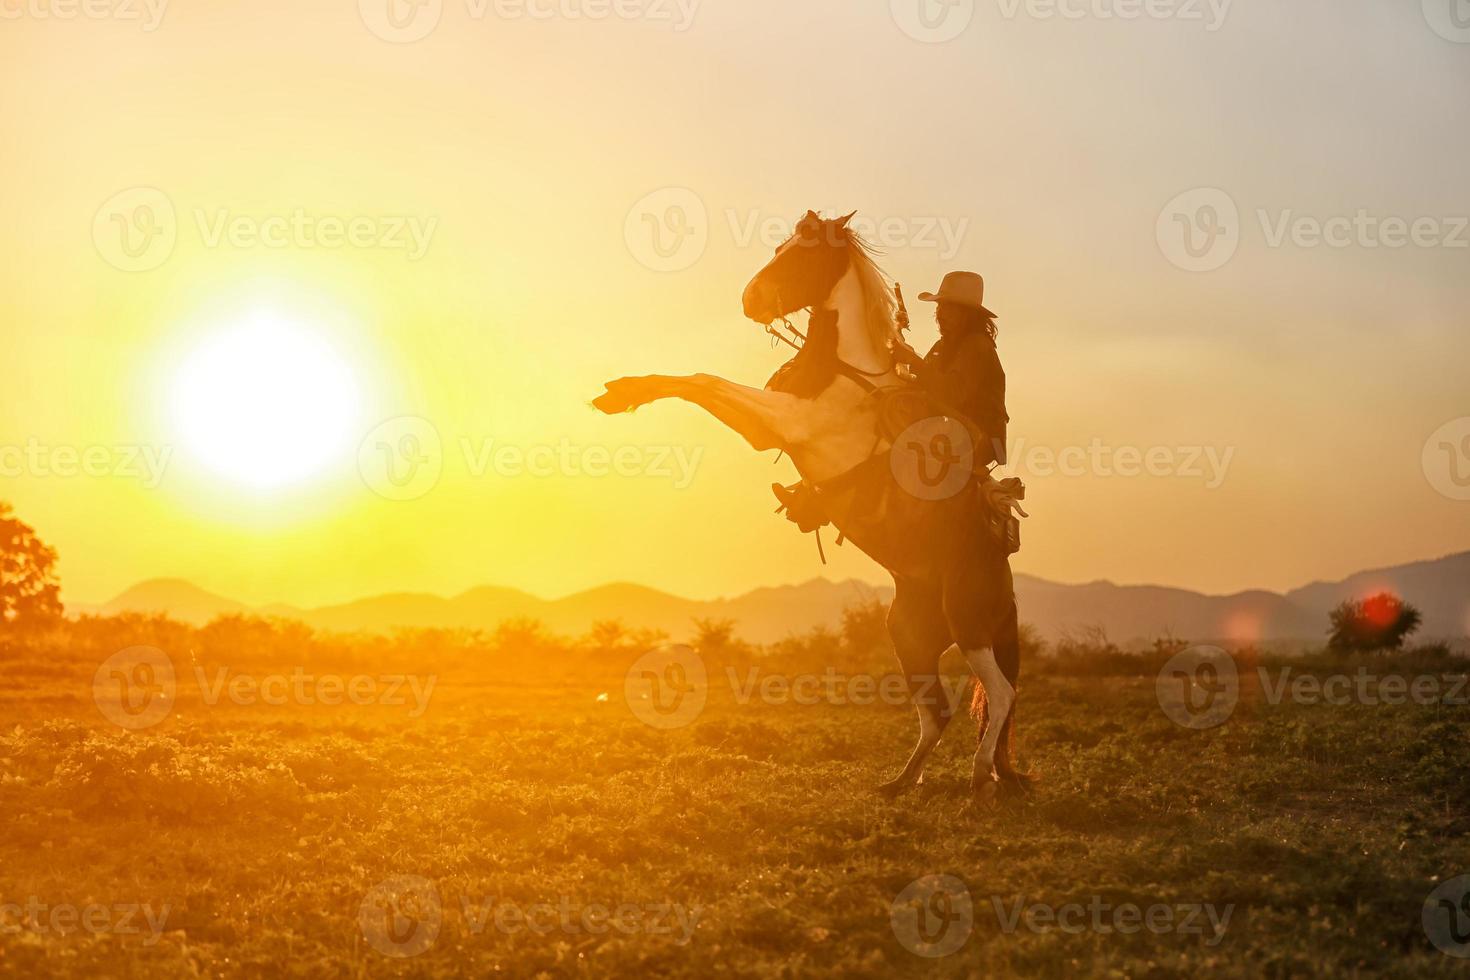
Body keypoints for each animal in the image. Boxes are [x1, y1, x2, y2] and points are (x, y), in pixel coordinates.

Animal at [590, 208, 1029, 805]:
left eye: (805, 255)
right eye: (781, 247)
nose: (751, 299)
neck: (844, 371)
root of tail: (1004, 581)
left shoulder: (777, 422)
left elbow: (704, 381)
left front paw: (623, 393)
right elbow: (698, 380)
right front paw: (622, 392)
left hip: (969, 623)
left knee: (1000, 695)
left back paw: (980, 774)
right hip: (911, 635)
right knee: (937, 712)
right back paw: (900, 782)